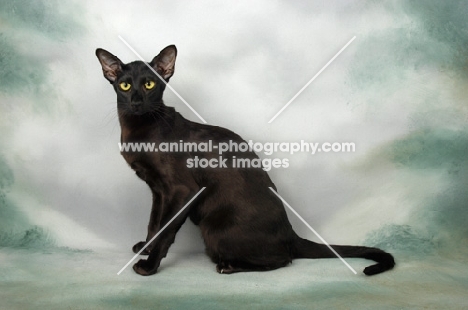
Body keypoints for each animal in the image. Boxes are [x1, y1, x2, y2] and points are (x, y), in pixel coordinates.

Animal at [95, 44, 394, 276]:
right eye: (124, 85)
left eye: (149, 84)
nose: (136, 102)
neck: (138, 130)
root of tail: (291, 232)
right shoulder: (158, 190)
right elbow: (154, 223)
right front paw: (144, 249)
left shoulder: (181, 191)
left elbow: (166, 230)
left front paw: (149, 265)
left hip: (214, 228)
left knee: (283, 259)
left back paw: (229, 266)